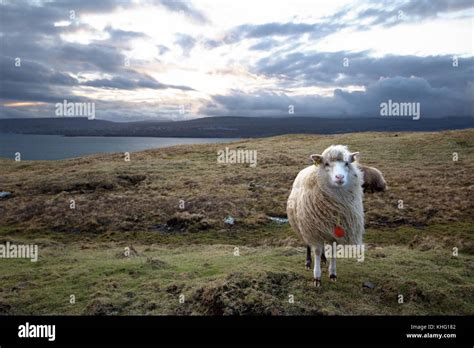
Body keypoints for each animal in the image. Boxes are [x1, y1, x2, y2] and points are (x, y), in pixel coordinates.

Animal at [286, 144, 364, 286]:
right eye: (326, 164)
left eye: (346, 163)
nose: (339, 177)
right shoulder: (313, 230)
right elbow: (316, 250)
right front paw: (317, 277)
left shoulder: (334, 230)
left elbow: (332, 251)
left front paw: (332, 273)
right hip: (303, 225)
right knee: (308, 245)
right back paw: (308, 262)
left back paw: (323, 259)